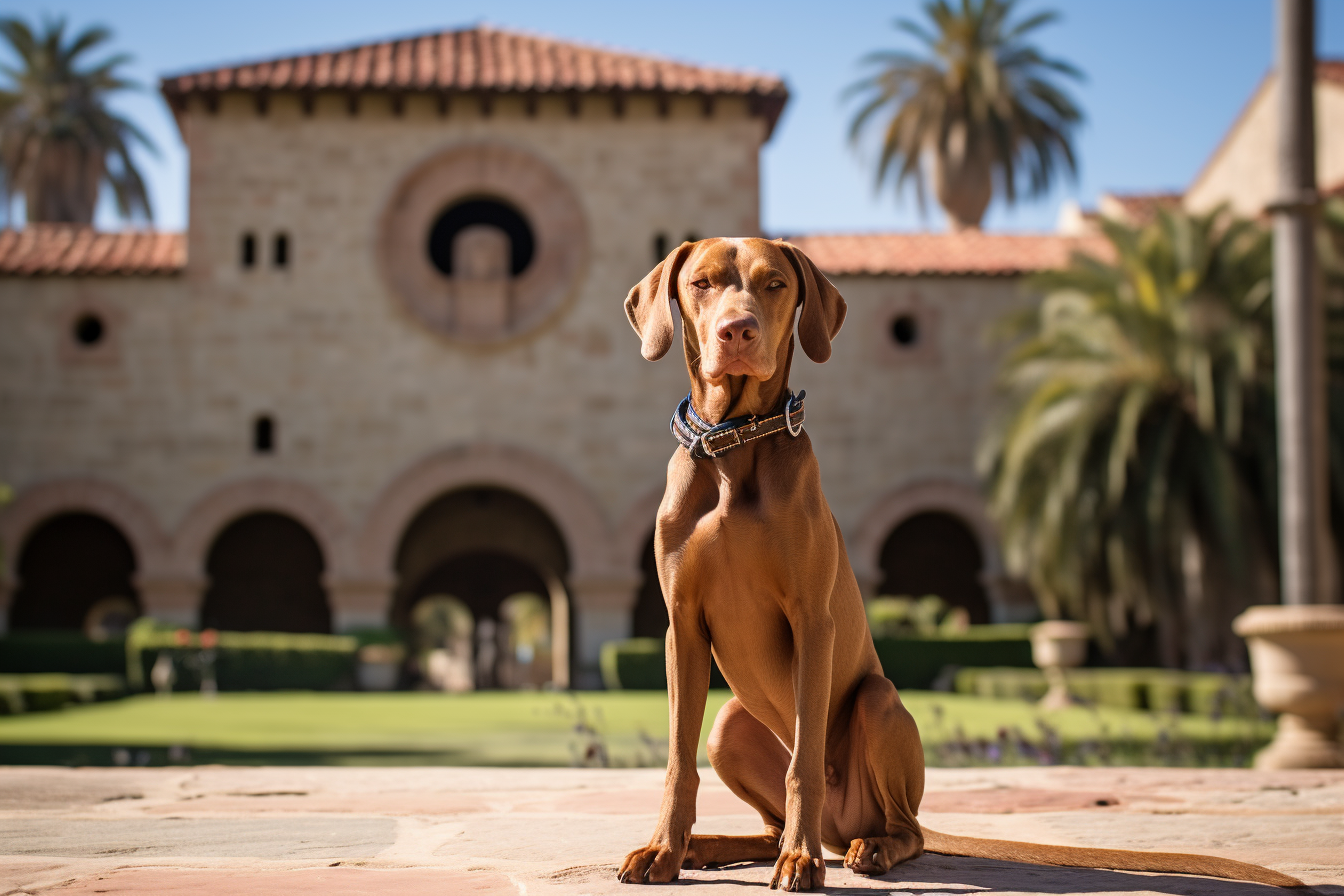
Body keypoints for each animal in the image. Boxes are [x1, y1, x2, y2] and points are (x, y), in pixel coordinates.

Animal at [615, 236, 1300, 891]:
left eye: (775, 283)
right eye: (702, 283)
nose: (738, 332)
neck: (733, 445)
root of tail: (843, 823)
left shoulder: (811, 620)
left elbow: (803, 763)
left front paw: (799, 864)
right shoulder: (683, 626)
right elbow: (677, 761)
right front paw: (663, 850)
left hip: (879, 703)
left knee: (905, 828)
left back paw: (854, 849)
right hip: (731, 723)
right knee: (767, 823)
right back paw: (714, 848)